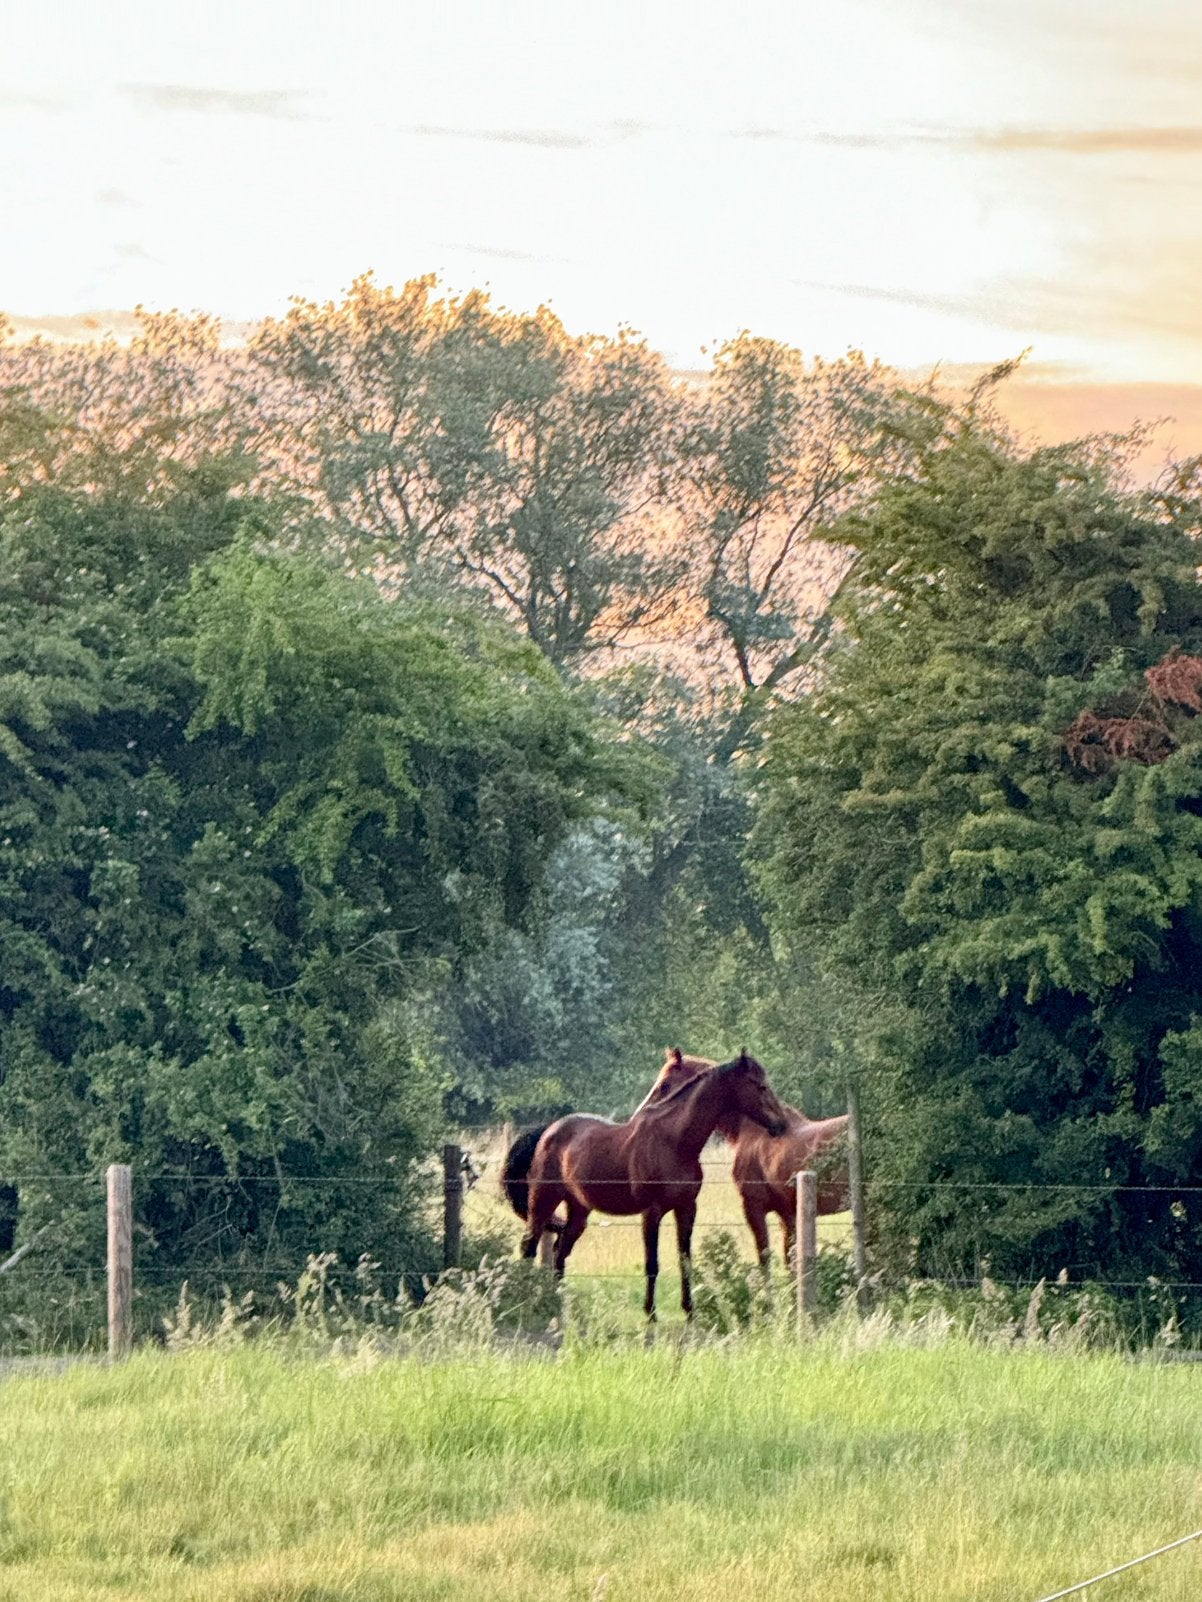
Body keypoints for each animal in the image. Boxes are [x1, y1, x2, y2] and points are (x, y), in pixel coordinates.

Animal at [501, 1052, 789, 1320]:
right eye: (760, 1086)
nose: (781, 1124)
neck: (674, 1142)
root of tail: (547, 1131)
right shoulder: (652, 1212)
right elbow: (652, 1264)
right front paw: (650, 1313)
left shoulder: (686, 1209)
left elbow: (685, 1260)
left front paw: (689, 1311)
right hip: (543, 1202)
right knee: (528, 1247)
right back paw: (525, 1300)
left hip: (579, 1211)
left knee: (560, 1252)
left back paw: (558, 1305)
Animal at [638, 1048, 850, 1270]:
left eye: (664, 1084)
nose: (641, 1114)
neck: (754, 1130)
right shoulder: (788, 1215)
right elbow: (790, 1261)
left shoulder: (754, 1208)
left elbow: (766, 1259)